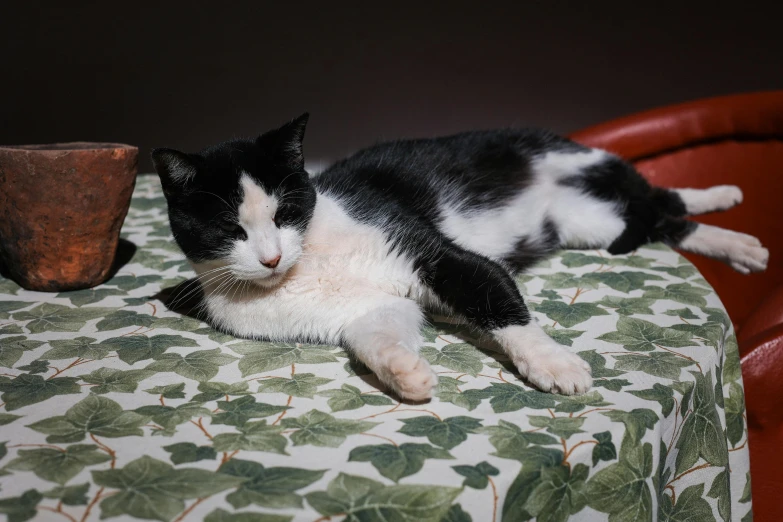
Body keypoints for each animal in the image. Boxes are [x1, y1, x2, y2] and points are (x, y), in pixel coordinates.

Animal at [152, 114, 764, 398]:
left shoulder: (430, 250)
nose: (272, 259)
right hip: (586, 223)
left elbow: (496, 297)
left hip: (584, 178)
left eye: (285, 211)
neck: (310, 264)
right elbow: (378, 331)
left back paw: (732, 223)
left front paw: (553, 364)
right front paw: (403, 373)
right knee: (662, 216)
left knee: (661, 200)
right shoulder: (367, 310)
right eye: (230, 229)